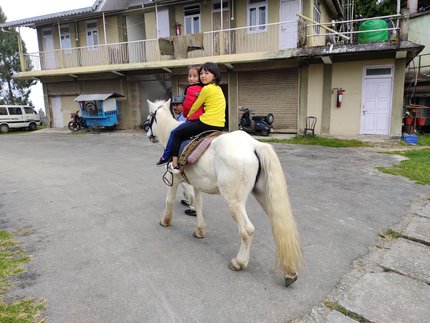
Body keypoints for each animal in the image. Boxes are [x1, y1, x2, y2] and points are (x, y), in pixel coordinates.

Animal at [146, 100, 304, 288]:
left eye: (150, 117)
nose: (148, 134)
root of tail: (254, 145)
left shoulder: (174, 177)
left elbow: (169, 199)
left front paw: (165, 221)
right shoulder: (197, 183)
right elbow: (198, 204)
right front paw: (199, 230)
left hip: (234, 202)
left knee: (247, 230)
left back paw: (239, 262)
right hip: (265, 197)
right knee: (280, 226)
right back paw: (290, 272)